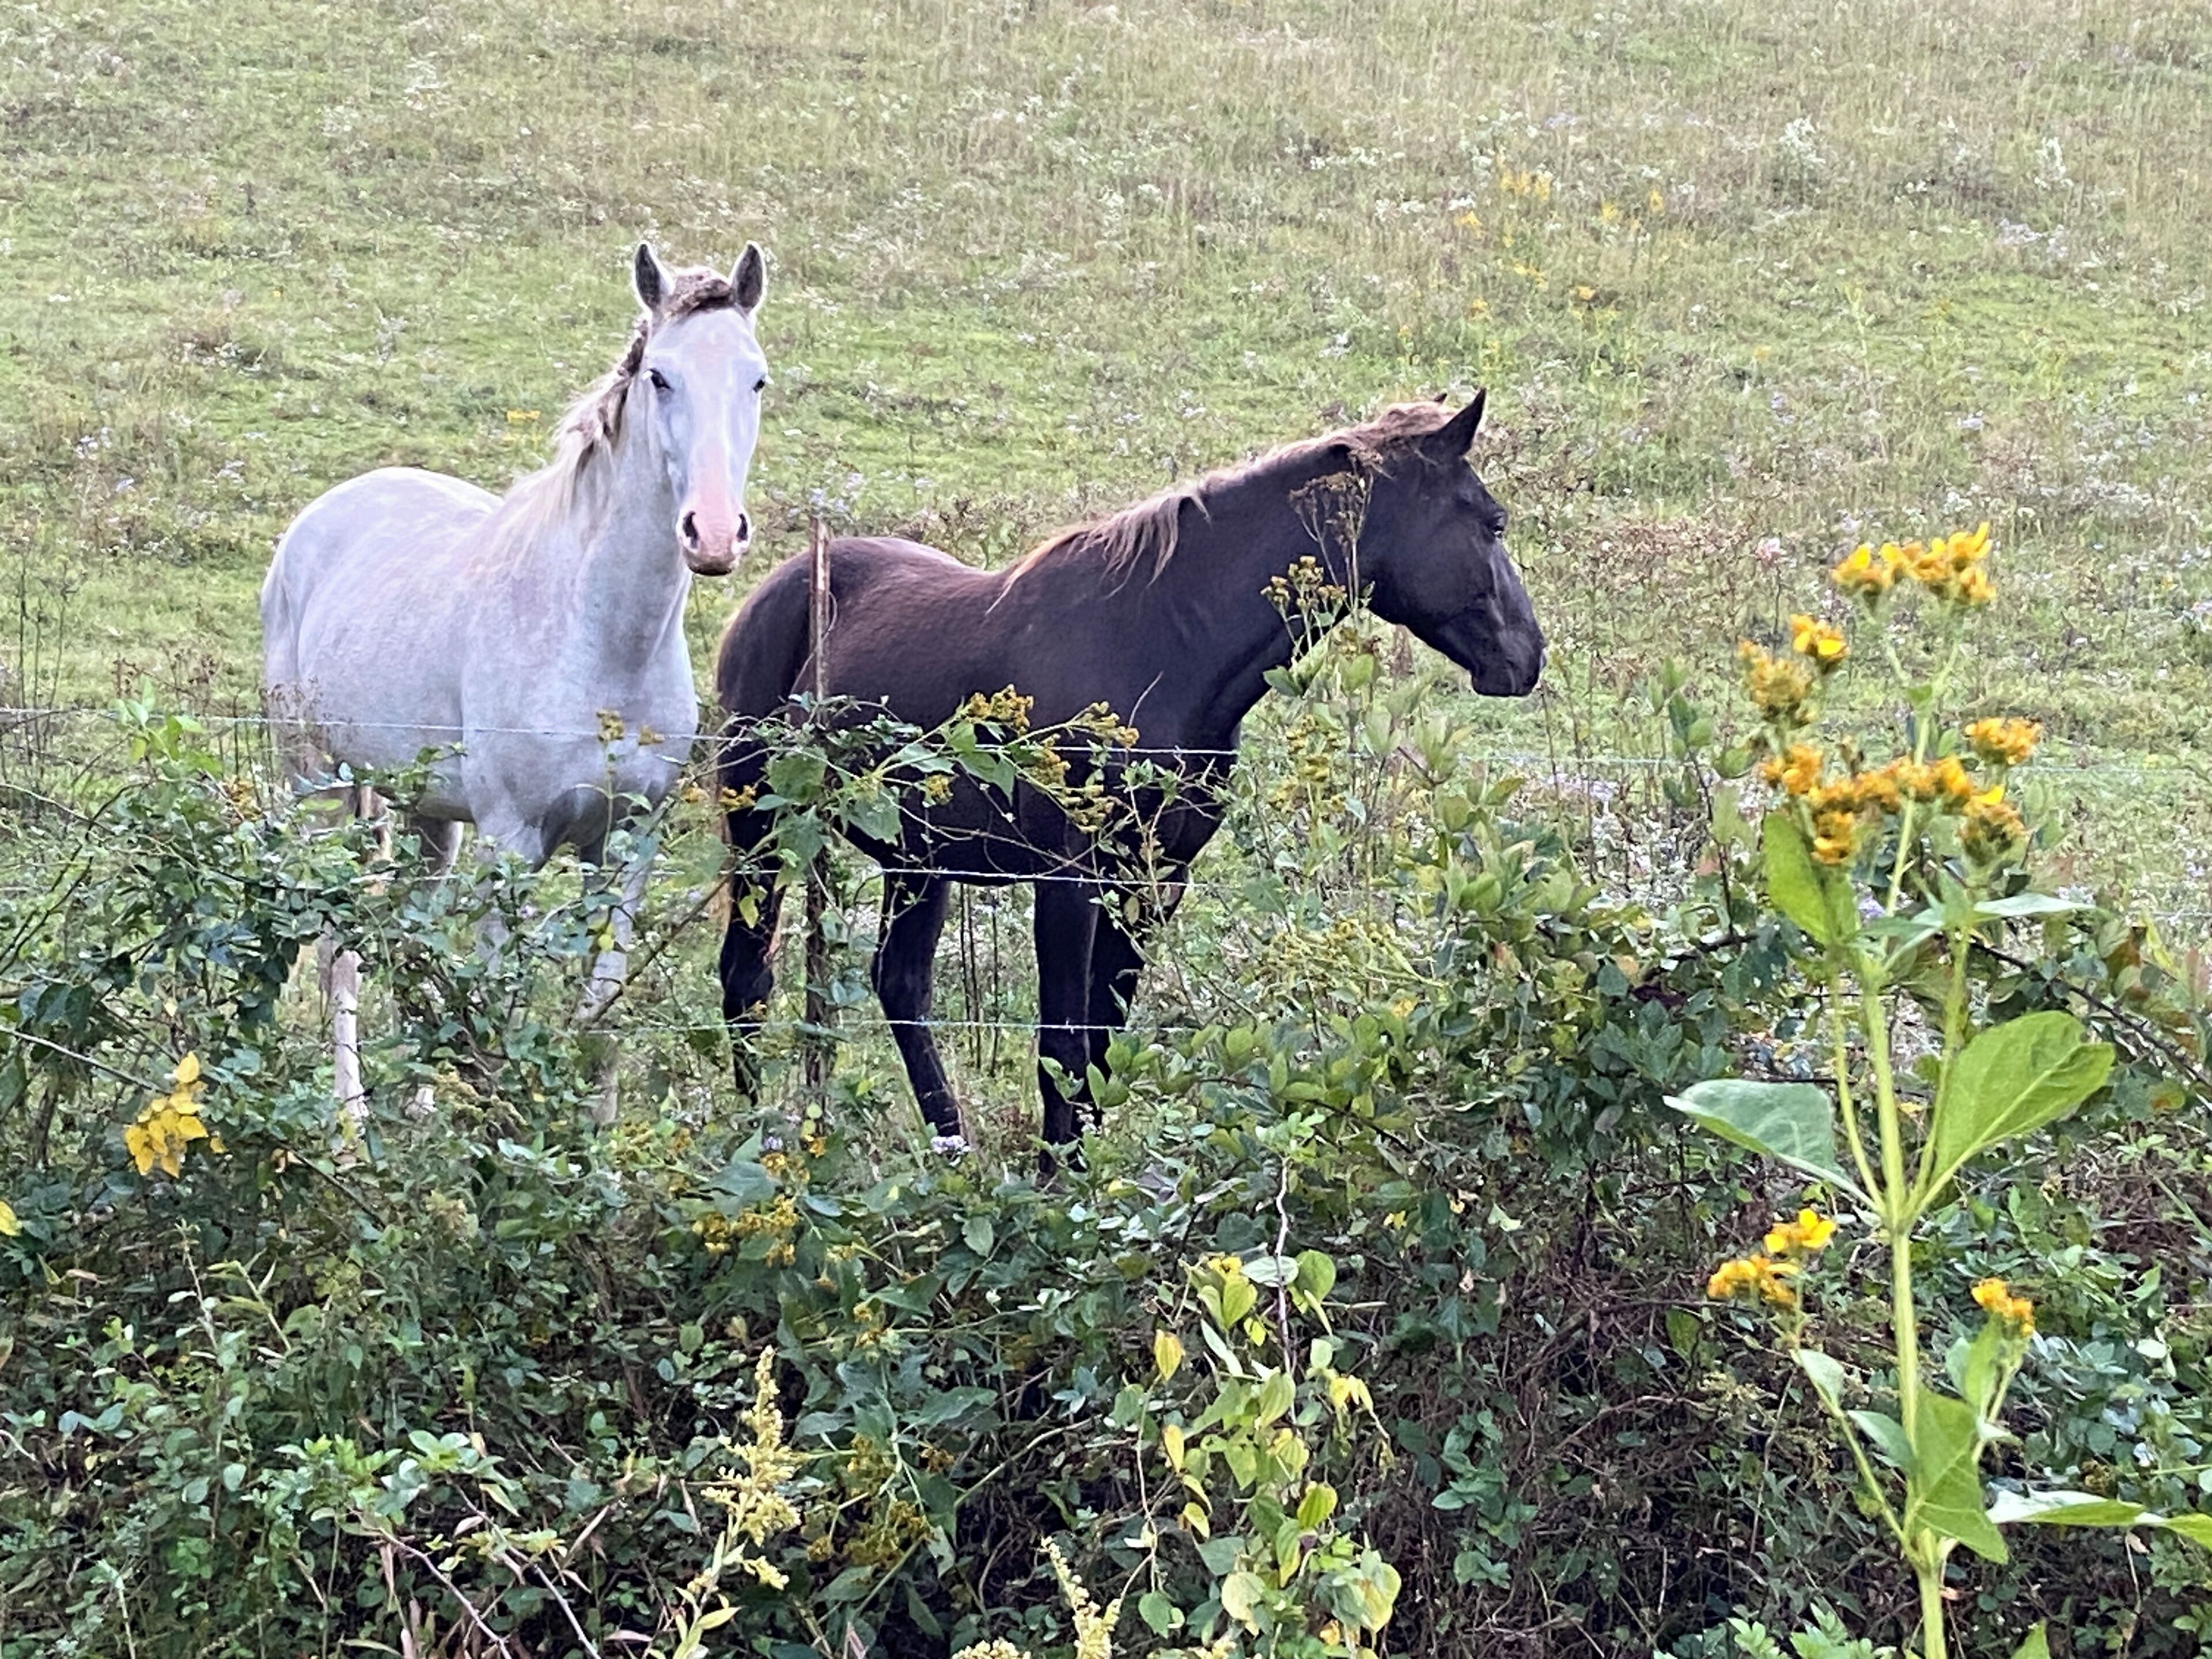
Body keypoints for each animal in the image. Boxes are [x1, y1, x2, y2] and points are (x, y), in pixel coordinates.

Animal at [262, 241, 771, 1116]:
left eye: (757, 380)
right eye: (661, 377)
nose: (711, 533)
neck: (599, 645)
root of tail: (316, 522)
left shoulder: (626, 845)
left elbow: (599, 1009)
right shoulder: (514, 844)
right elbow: (495, 997)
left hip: (429, 817)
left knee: (414, 928)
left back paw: (418, 1104)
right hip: (319, 788)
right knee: (340, 948)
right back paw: (352, 1121)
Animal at [712, 394, 1544, 1150]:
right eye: (1492, 521)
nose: (1527, 657)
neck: (1162, 647)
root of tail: (780, 588)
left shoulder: (1155, 881)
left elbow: (1102, 1048)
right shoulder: (1071, 879)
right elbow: (1062, 1044)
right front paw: (1055, 1187)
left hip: (915, 858)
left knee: (900, 984)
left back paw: (952, 1146)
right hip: (759, 829)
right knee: (747, 976)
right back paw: (755, 1134)